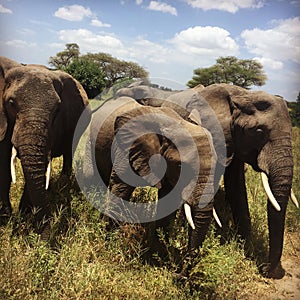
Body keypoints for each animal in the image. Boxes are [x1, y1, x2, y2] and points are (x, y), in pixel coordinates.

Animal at [0, 55, 91, 234]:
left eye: (57, 109)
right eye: (11, 103)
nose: (43, 231)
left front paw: (25, 213)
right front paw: (7, 218)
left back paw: (63, 183)